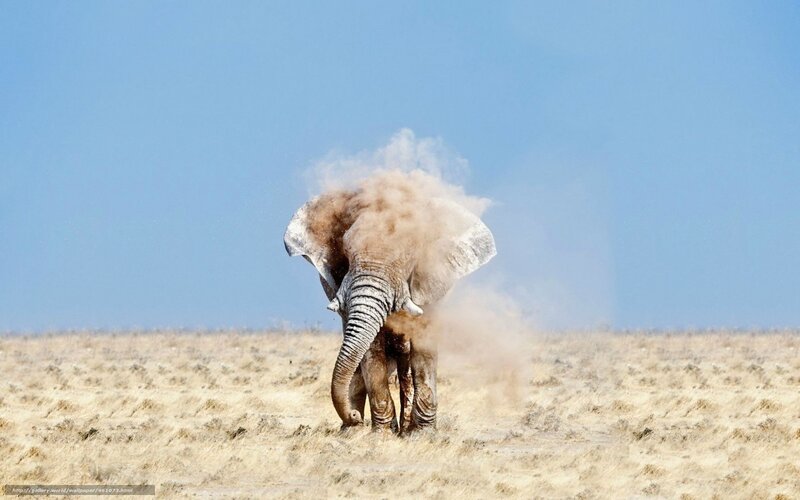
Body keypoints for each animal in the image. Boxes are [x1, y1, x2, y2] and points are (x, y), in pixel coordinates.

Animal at [283, 170, 496, 432]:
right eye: (346, 251)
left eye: (409, 258)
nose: (353, 415)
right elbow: (370, 350)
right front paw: (382, 434)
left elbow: (423, 346)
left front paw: (422, 434)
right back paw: (352, 431)